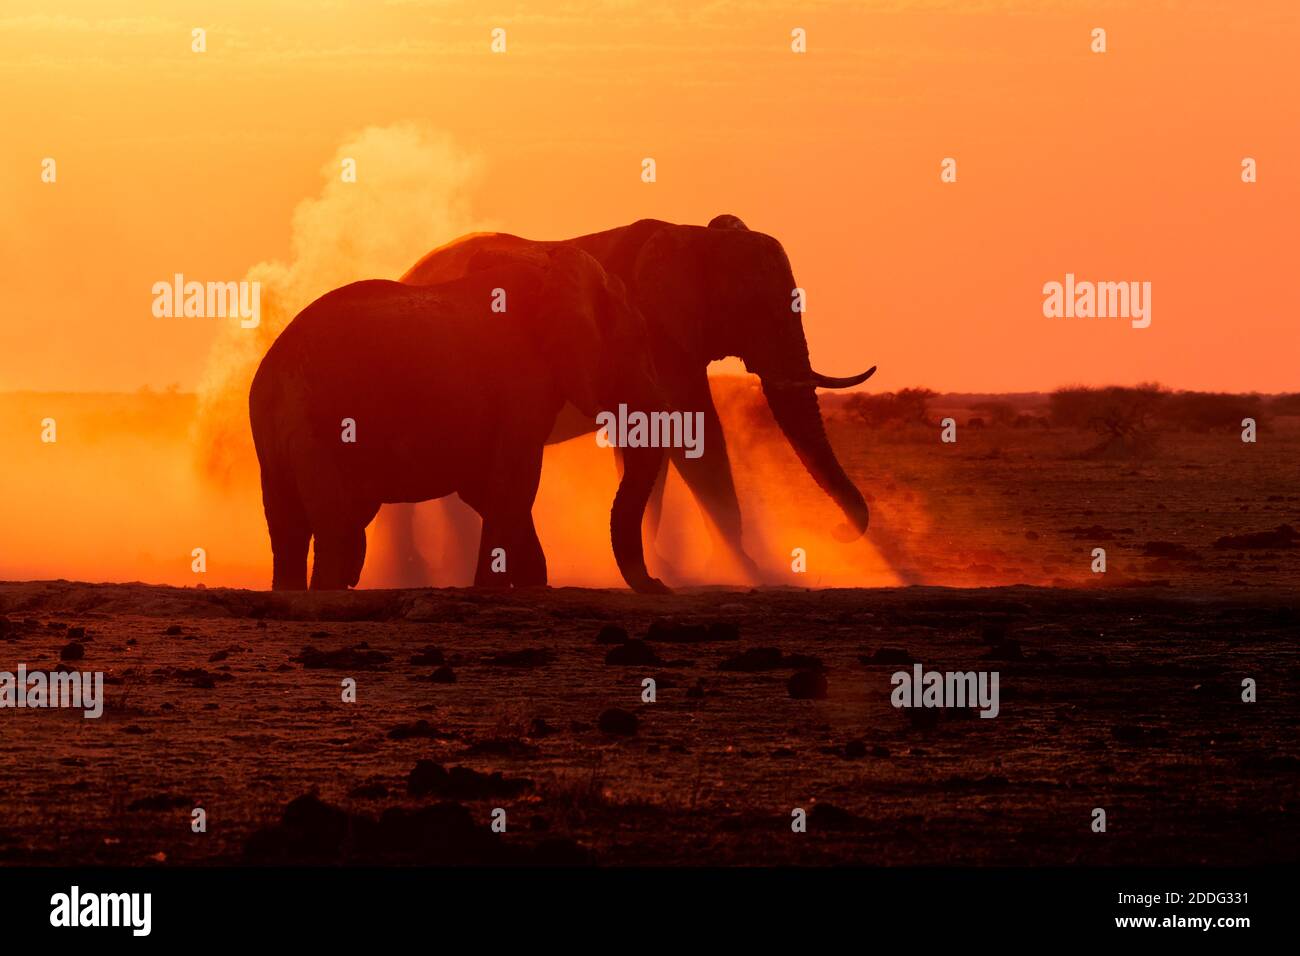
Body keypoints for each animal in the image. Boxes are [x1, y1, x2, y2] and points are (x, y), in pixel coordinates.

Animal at [249, 244, 670, 590]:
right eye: (640, 341)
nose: (660, 584)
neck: (550, 271)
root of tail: (274, 369)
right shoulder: (521, 386)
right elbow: (515, 481)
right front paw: (496, 590)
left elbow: (486, 486)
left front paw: (531, 585)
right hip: (321, 428)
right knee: (332, 527)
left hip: (277, 441)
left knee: (287, 529)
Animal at [382, 215, 873, 582]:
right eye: (754, 308)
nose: (838, 532)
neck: (696, 237)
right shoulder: (657, 334)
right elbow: (695, 435)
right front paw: (754, 572)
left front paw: (667, 567)